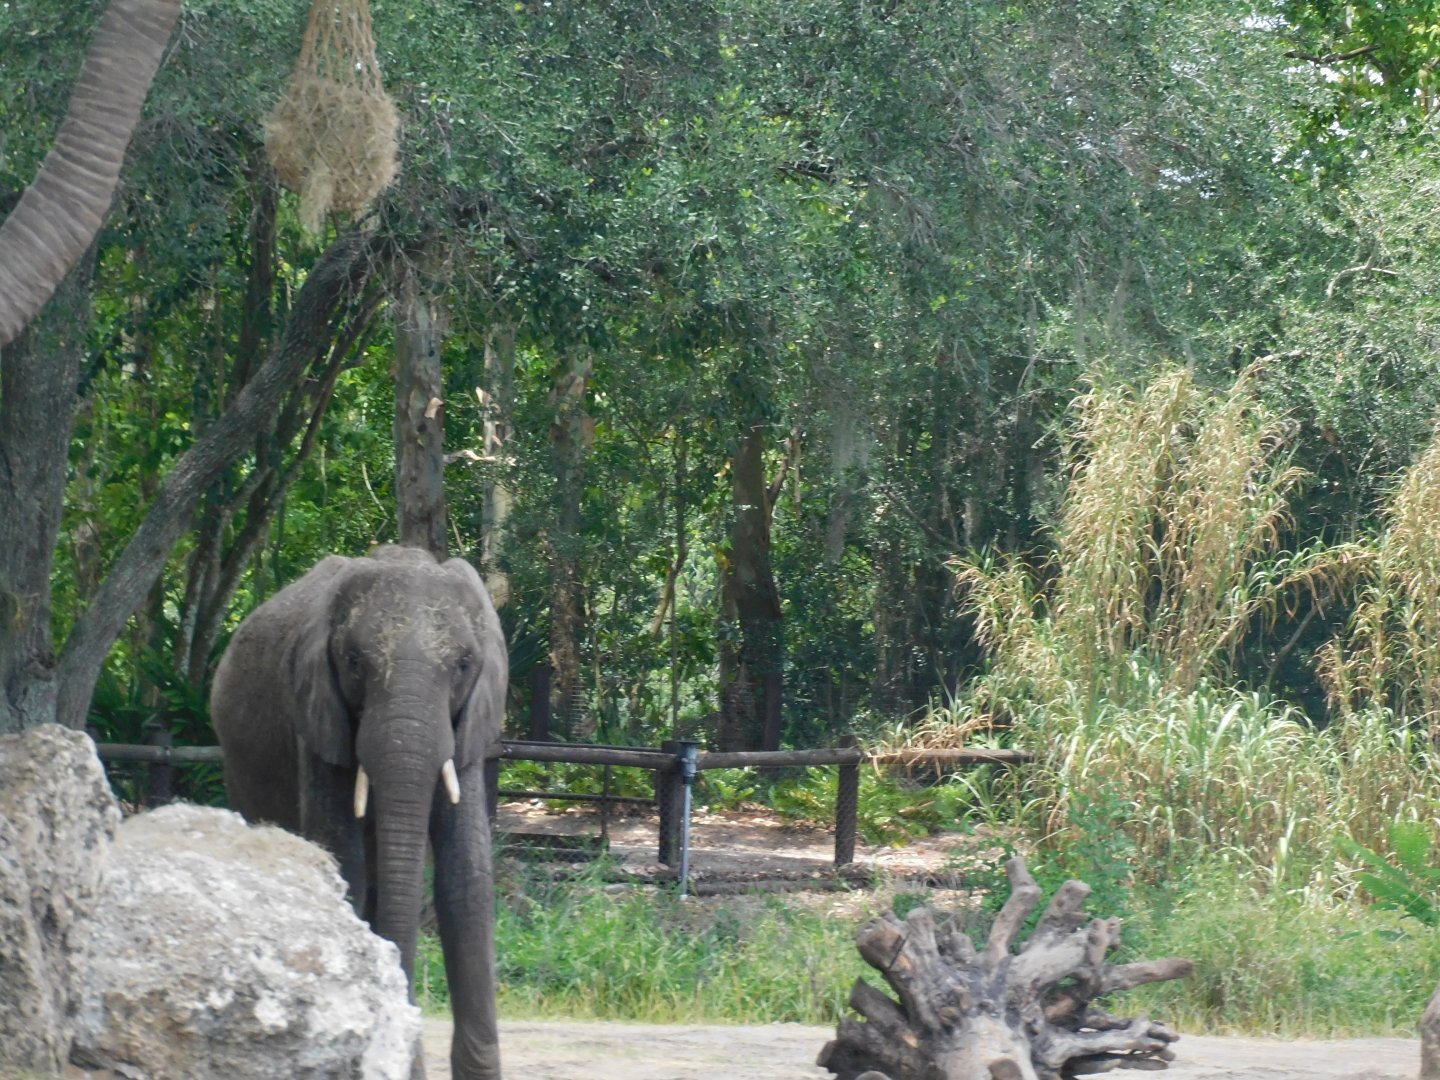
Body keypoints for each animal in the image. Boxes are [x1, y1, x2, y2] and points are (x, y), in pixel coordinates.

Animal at [211, 545, 507, 1080]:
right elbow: (344, 865)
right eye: (352, 661)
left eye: (463, 664)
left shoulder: (472, 726)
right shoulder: (315, 717)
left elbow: (466, 880)